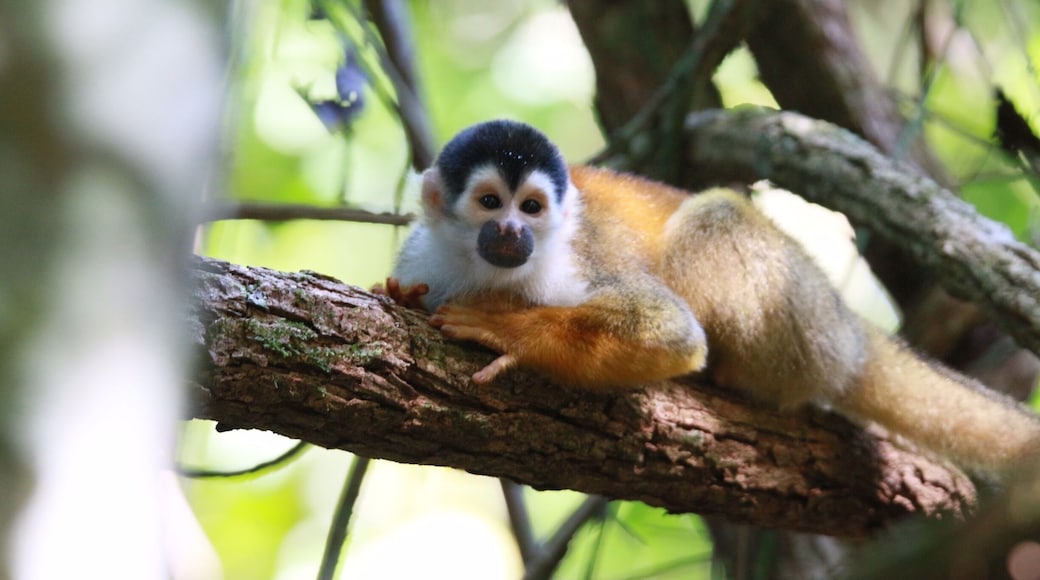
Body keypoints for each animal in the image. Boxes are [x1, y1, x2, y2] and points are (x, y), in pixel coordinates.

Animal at [376, 119, 1040, 476]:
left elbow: (672, 333)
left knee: (716, 217)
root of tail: (848, 330)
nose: (514, 231)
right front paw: (400, 294)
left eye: (532, 207)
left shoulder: (575, 260)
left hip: (801, 322)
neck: (483, 268)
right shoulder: (428, 256)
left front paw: (512, 332)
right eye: (491, 202)